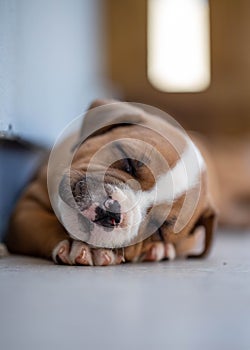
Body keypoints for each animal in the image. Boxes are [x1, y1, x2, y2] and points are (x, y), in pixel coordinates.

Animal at [5, 100, 217, 266]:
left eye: (158, 230)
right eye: (129, 163)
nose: (113, 211)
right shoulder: (25, 210)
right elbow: (46, 224)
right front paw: (77, 245)